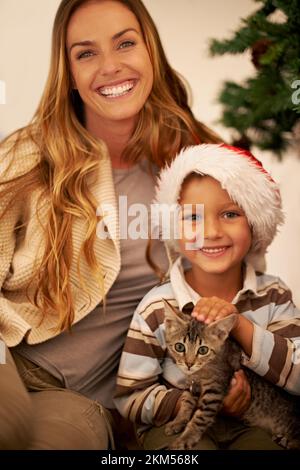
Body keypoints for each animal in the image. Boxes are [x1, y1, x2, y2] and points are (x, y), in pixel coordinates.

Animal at [164, 300, 300, 450]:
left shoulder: (215, 391)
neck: (200, 372)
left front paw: (185, 438)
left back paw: (288, 441)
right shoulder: (191, 386)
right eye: (179, 347)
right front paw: (178, 421)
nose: (189, 364)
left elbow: (200, 417)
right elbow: (186, 401)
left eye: (203, 350)